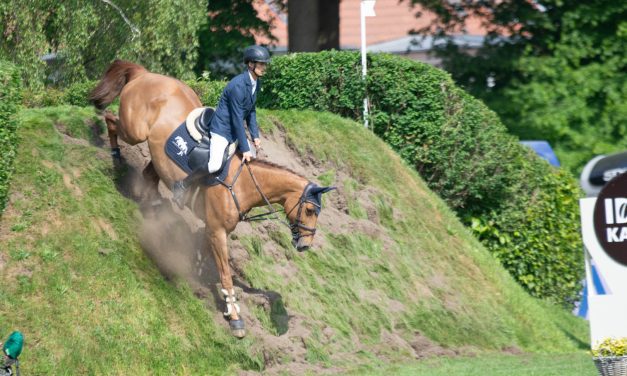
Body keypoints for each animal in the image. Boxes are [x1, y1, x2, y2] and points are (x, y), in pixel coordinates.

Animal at [89, 61, 336, 338]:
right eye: (310, 210)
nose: (305, 245)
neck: (243, 184)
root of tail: (145, 74)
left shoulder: (215, 230)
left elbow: (208, 259)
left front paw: (206, 285)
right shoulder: (217, 231)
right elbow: (225, 274)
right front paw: (235, 318)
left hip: (156, 151)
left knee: (149, 176)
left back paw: (152, 205)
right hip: (135, 131)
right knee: (111, 121)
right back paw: (116, 157)